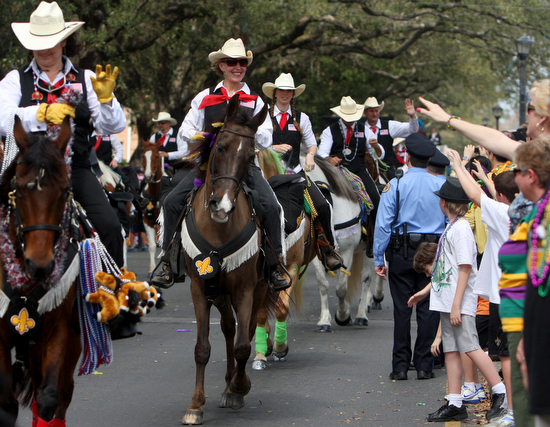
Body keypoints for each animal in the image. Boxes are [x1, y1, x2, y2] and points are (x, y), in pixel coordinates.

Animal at [0, 117, 81, 427]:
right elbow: (6, 407)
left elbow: (48, 399)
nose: (41, 265)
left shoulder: (57, 329)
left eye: (65, 190)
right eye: (20, 189)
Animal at [183, 94, 274, 424]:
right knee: (228, 329)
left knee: (240, 332)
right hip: (219, 292)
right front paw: (195, 405)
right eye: (220, 146)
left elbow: (244, 346)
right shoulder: (199, 289)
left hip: (254, 289)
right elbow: (202, 348)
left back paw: (232, 386)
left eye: (249, 156)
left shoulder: (245, 288)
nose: (221, 207)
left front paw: (239, 387)